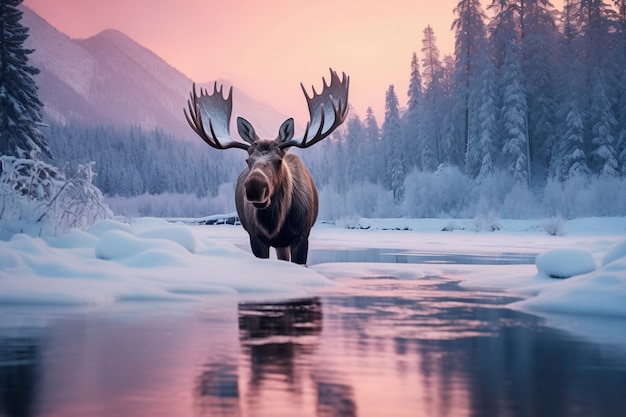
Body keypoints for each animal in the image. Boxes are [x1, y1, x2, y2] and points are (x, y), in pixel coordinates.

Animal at [183, 68, 348, 264]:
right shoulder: (256, 238)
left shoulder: (302, 236)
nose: (254, 187)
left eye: (279, 160)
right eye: (248, 161)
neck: (276, 224)